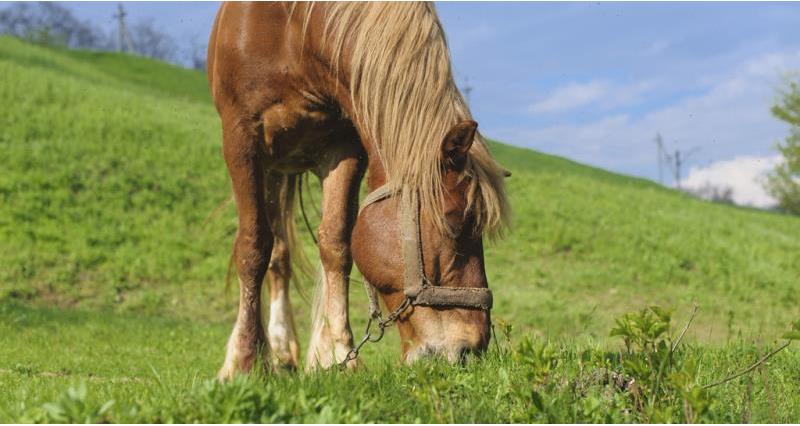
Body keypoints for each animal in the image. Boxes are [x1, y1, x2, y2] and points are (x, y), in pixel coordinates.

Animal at [209, 0, 510, 380]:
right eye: (455, 223)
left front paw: (337, 355)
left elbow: (336, 245)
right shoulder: (242, 138)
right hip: (272, 167)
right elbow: (253, 246)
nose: (472, 347)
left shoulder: (343, 146)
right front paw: (244, 361)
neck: (294, 31)